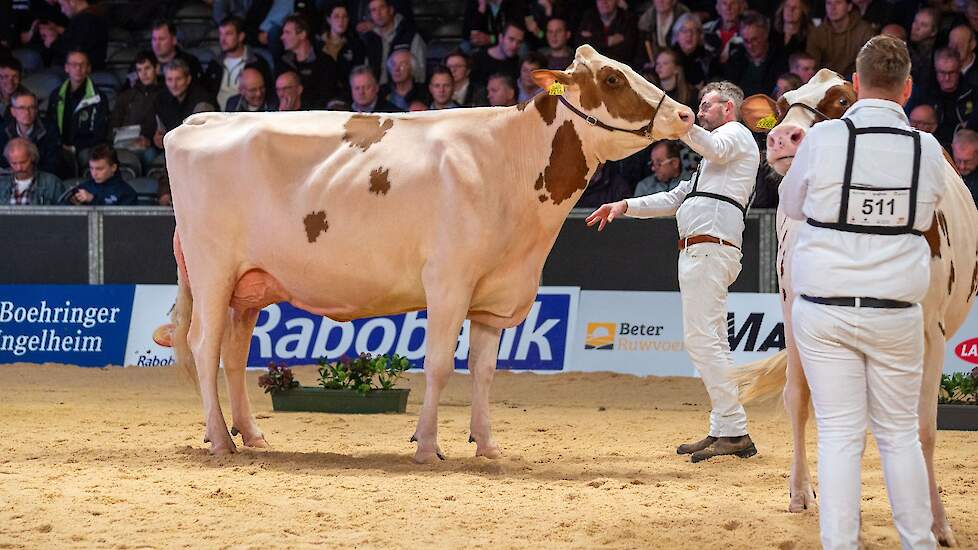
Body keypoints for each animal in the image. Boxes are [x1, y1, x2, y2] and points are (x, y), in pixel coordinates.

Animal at [162, 44, 692, 466]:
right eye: (612, 78)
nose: (686, 114)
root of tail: (202, 118)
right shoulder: (449, 282)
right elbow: (438, 364)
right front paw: (426, 445)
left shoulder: (493, 294)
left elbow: (484, 370)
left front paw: (487, 445)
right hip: (213, 271)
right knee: (204, 346)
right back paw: (220, 442)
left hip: (249, 284)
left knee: (233, 354)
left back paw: (250, 436)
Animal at [736, 69, 972, 548]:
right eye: (784, 104)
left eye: (843, 100)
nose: (783, 137)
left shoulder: (931, 332)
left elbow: (924, 428)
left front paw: (938, 524)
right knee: (799, 398)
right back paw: (802, 493)